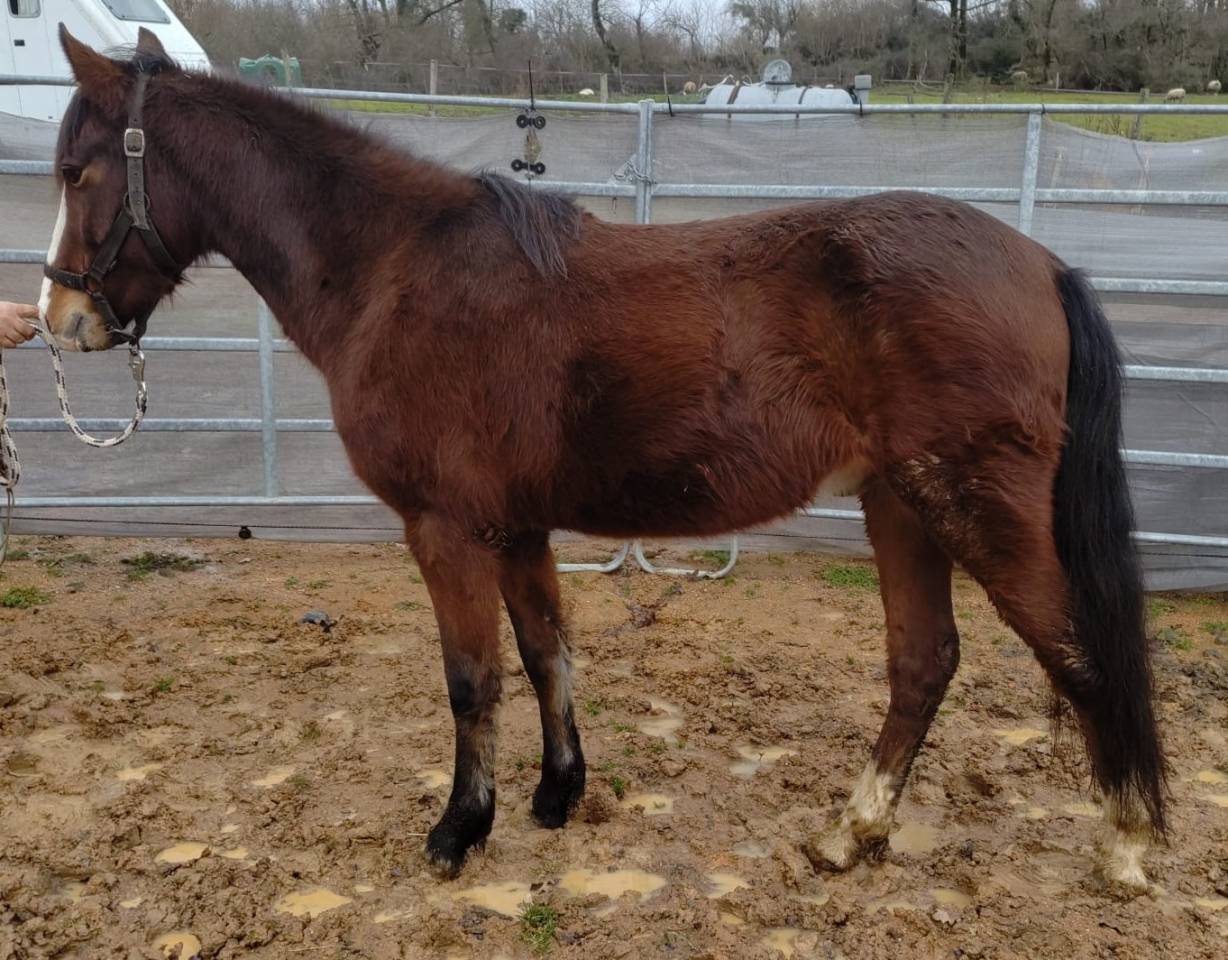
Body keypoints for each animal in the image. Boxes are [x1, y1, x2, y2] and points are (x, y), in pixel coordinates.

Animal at [41, 26, 1167, 891]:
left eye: (76, 170)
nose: (61, 319)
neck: (397, 270)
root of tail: (1039, 261)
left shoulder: (445, 529)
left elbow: (472, 679)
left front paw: (460, 830)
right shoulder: (517, 526)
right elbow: (549, 653)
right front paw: (555, 794)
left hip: (976, 509)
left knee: (1077, 653)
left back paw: (1125, 848)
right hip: (903, 506)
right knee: (923, 662)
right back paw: (850, 835)